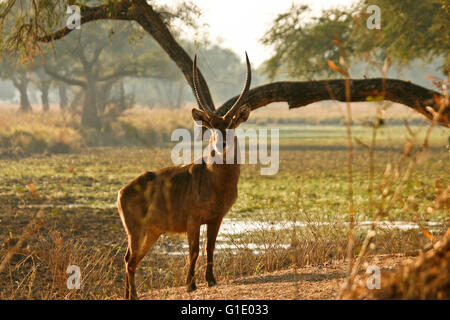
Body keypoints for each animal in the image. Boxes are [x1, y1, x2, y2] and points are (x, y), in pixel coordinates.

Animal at [118, 53, 251, 300]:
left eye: (230, 124)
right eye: (211, 127)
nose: (221, 144)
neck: (216, 180)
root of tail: (123, 191)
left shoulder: (216, 219)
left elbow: (210, 248)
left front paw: (211, 280)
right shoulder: (193, 220)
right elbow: (194, 250)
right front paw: (190, 284)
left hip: (152, 233)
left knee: (130, 259)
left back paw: (128, 295)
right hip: (136, 231)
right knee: (130, 261)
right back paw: (134, 295)